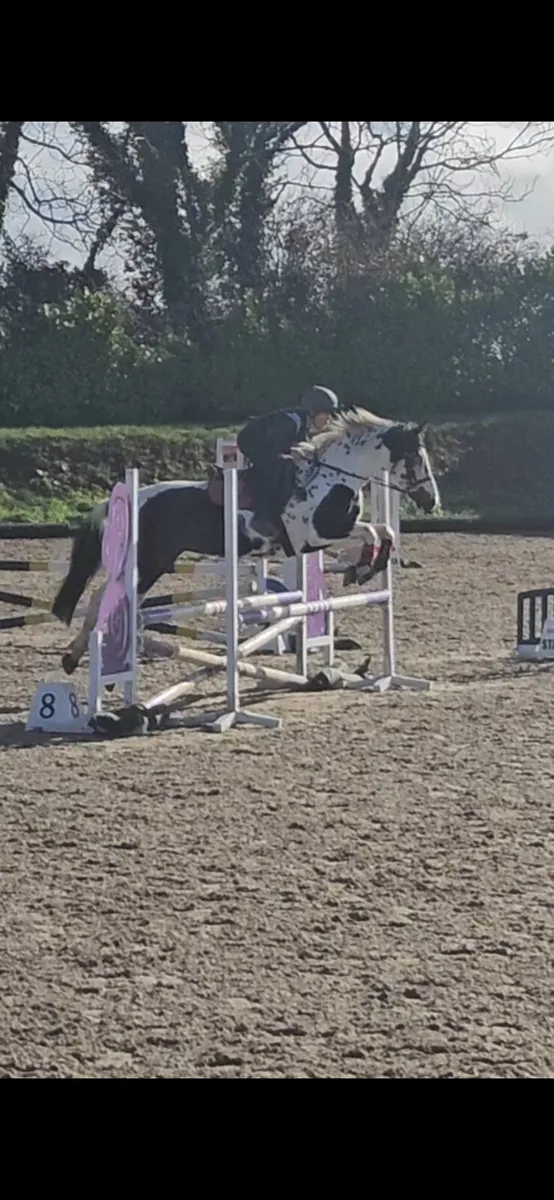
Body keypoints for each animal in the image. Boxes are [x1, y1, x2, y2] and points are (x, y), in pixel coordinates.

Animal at [51, 407, 440, 675]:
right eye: (417, 458)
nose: (432, 502)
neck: (333, 477)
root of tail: (129, 499)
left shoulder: (322, 540)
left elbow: (383, 532)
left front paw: (364, 568)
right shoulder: (317, 536)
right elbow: (375, 531)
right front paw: (362, 569)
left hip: (146, 564)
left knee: (100, 597)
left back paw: (72, 657)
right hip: (148, 564)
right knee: (105, 598)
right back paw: (78, 655)